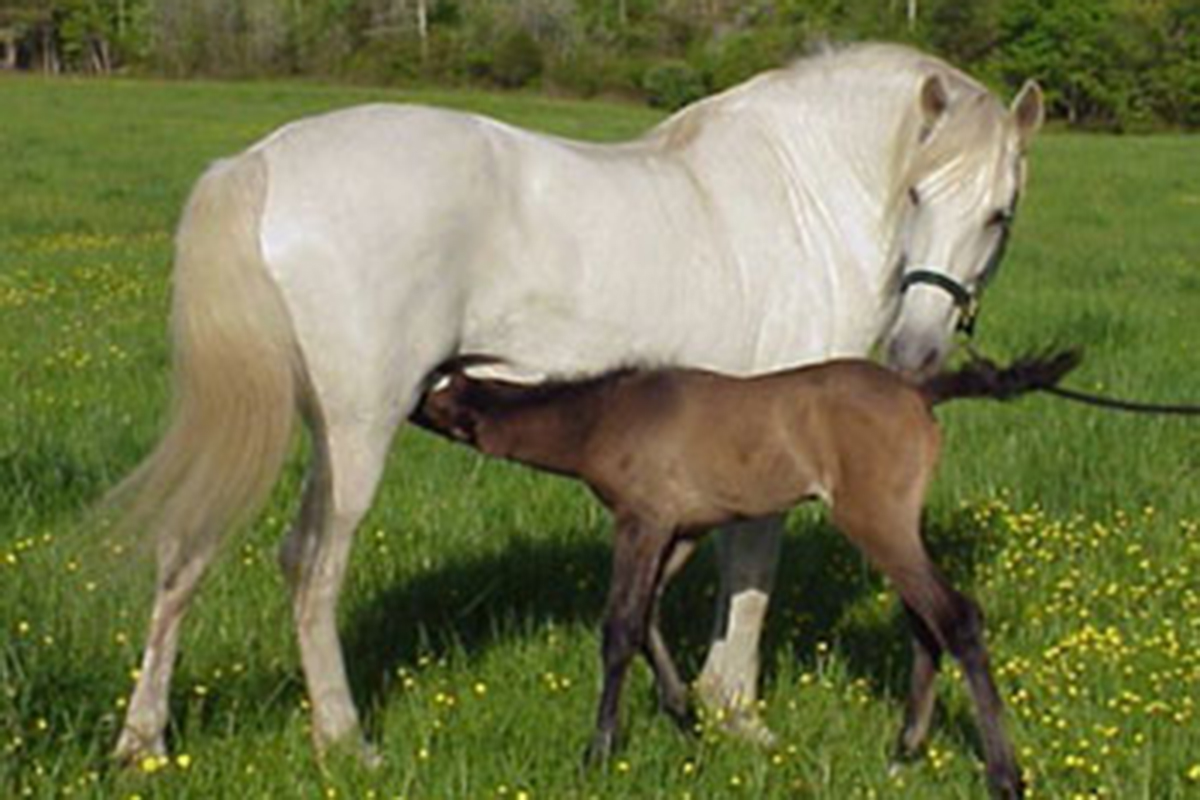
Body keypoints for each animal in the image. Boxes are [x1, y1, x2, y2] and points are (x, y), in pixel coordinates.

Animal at [112, 45, 1041, 762]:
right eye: (918, 195)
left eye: (1001, 215)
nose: (916, 351)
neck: (804, 198)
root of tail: (259, 165)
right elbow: (751, 575)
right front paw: (739, 714)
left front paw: (697, 706)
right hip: (356, 432)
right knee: (310, 566)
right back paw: (344, 740)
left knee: (186, 550)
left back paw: (142, 740)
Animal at [412, 352, 1080, 800]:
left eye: (434, 394)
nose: (404, 398)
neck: (606, 417)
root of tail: (920, 391)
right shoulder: (683, 531)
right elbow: (649, 614)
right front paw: (684, 718)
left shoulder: (642, 522)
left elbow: (621, 626)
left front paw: (598, 752)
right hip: (900, 526)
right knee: (925, 621)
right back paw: (905, 750)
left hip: (874, 519)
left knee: (957, 616)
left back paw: (1003, 774)